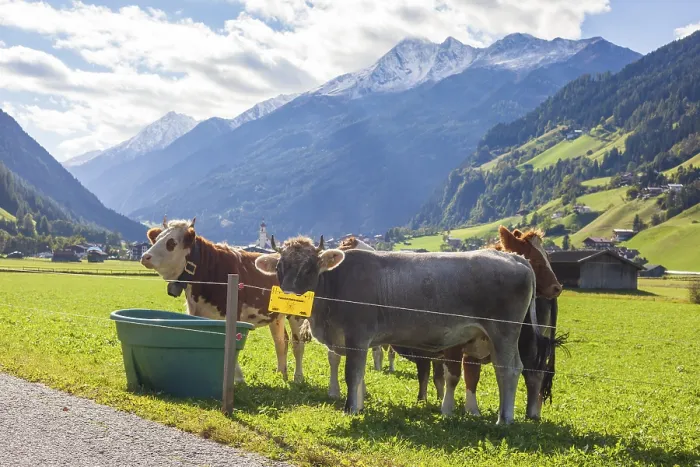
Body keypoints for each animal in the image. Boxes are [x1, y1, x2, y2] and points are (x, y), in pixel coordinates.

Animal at [139, 217, 309, 385]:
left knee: (297, 344)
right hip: (276, 317)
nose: (145, 257)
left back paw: (298, 377)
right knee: (281, 342)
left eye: (171, 242)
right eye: (157, 239)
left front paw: (237, 377)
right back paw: (281, 374)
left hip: (297, 315)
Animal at [254, 234, 561, 423]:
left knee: (510, 370)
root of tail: (515, 258)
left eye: (309, 268)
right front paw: (360, 405)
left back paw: (504, 418)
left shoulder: (357, 335)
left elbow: (352, 374)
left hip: (505, 332)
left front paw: (350, 409)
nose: (289, 299)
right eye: (280, 268)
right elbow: (360, 375)